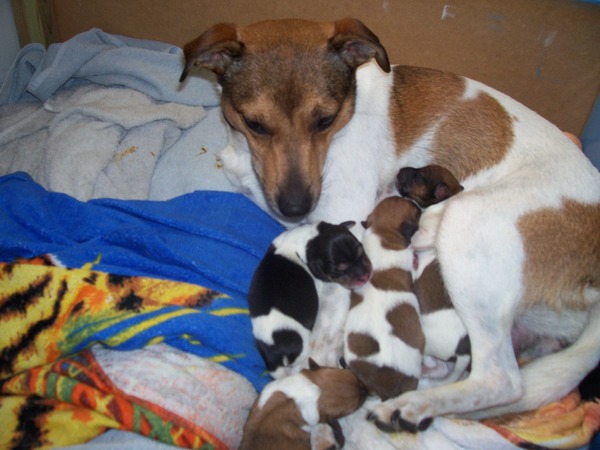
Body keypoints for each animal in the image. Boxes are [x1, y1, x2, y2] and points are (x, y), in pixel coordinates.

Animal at [248, 220, 371, 378]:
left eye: (361, 252)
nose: (365, 276)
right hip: (303, 347)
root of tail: (272, 350)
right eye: (339, 270)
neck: (310, 239)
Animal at [397, 165, 471, 387]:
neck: (445, 199)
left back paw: (423, 371)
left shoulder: (426, 234)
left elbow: (415, 237)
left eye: (418, 176)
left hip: (427, 341)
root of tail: (463, 351)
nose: (402, 169)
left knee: (439, 368)